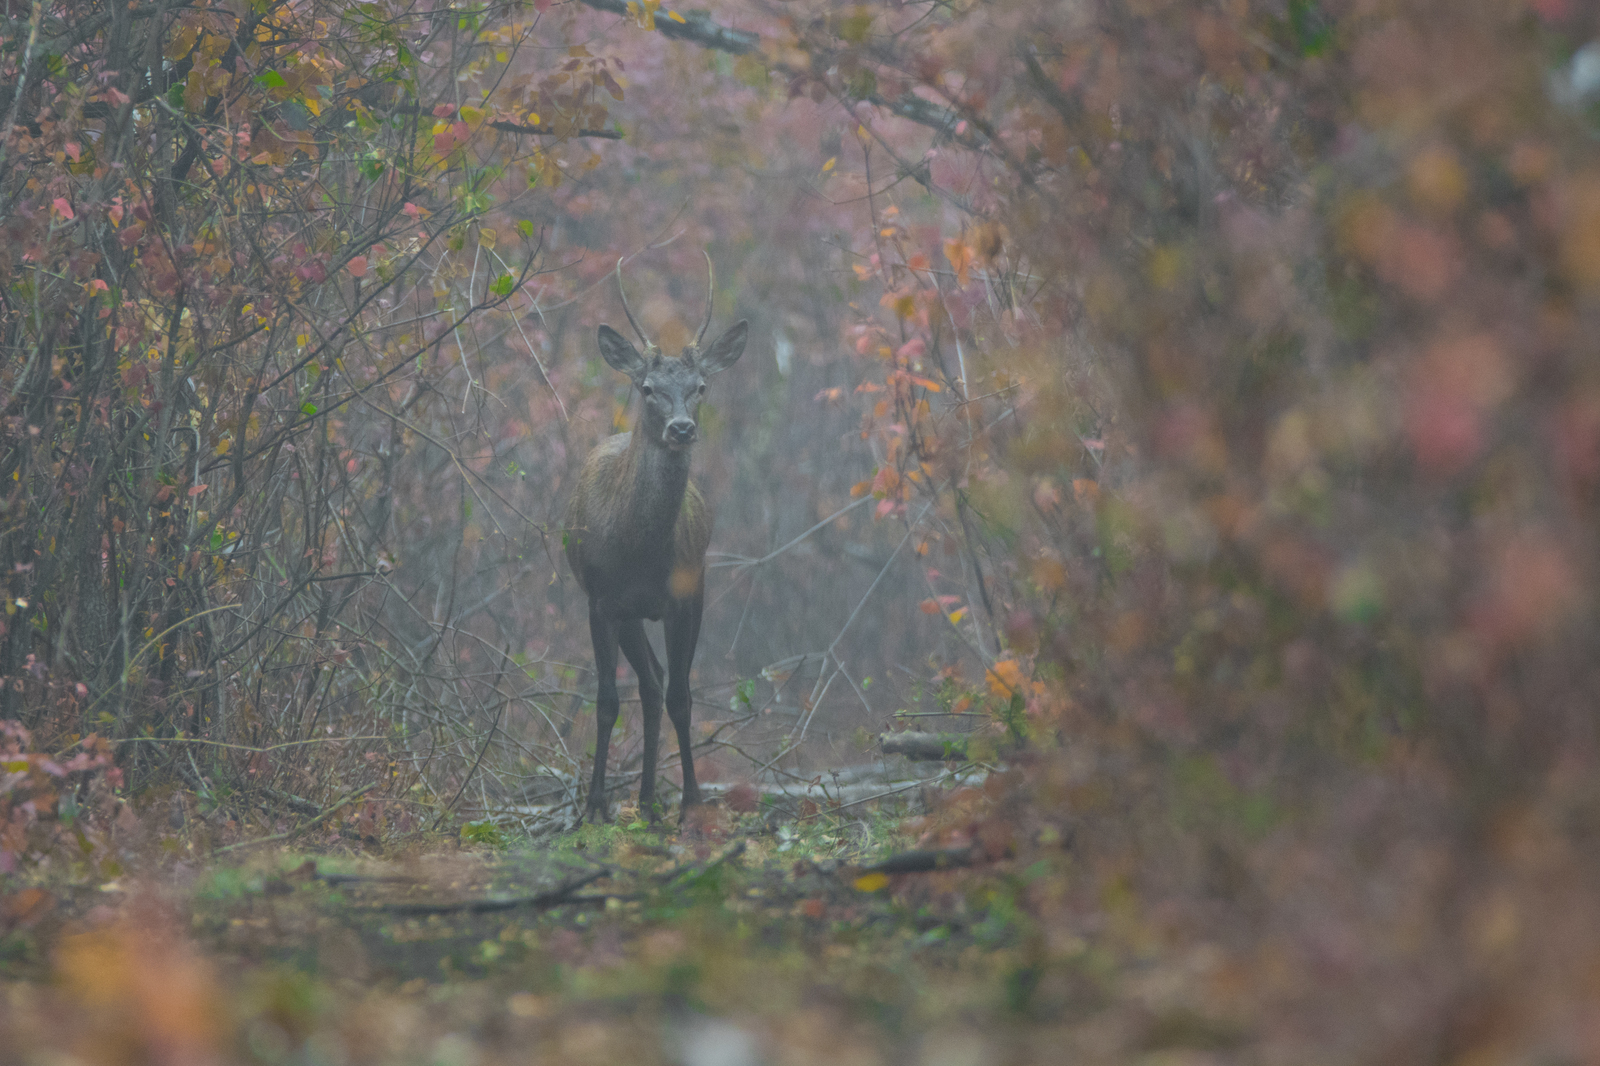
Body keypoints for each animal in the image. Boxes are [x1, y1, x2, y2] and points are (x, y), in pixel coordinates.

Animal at [566, 251, 745, 819]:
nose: (681, 428)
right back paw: (639, 799)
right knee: (647, 684)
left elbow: (683, 699)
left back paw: (648, 799)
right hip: (625, 614)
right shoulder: (601, 600)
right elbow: (606, 701)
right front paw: (593, 805)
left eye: (701, 387)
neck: (640, 553)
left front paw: (691, 800)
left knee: (659, 683)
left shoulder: (687, 595)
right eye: (648, 389)